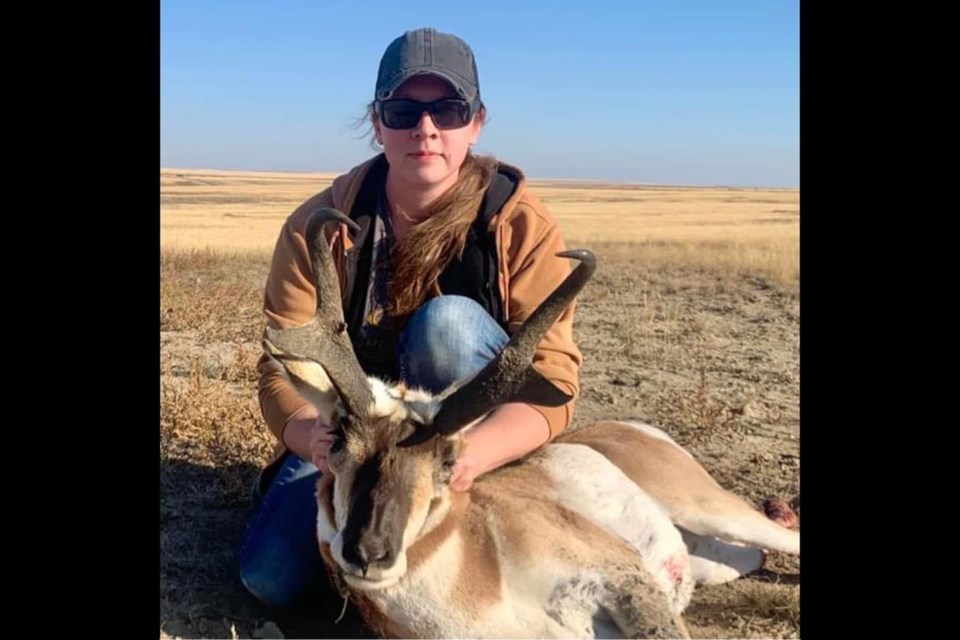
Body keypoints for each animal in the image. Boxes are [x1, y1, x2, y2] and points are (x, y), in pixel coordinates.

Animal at [260, 209, 796, 636]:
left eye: (447, 461)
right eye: (336, 443)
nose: (368, 553)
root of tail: (628, 430)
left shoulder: (626, 579)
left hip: (710, 509)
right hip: (715, 558)